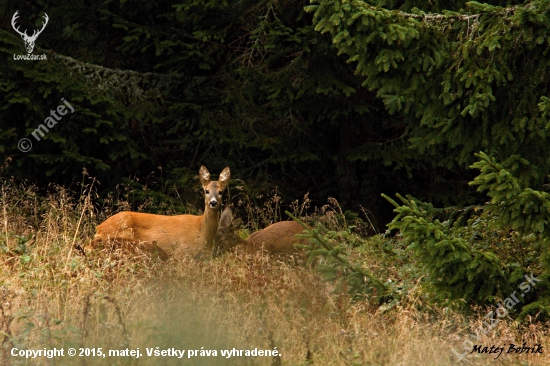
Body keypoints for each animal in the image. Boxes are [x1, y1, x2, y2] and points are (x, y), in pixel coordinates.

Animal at [87, 166, 230, 258]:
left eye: (220, 192)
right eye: (206, 191)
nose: (213, 202)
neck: (202, 232)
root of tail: (99, 227)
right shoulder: (181, 250)